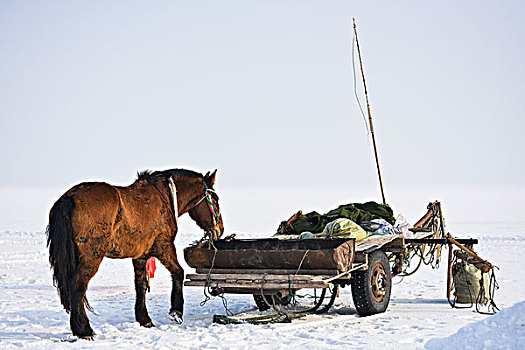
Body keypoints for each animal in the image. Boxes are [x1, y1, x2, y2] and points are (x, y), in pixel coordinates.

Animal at [45, 169, 223, 340]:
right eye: (215, 199)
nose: (219, 229)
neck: (163, 196)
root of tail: (70, 198)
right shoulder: (164, 247)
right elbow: (178, 272)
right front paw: (176, 312)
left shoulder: (140, 256)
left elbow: (141, 285)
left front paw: (144, 319)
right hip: (91, 257)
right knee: (77, 285)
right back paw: (84, 330)